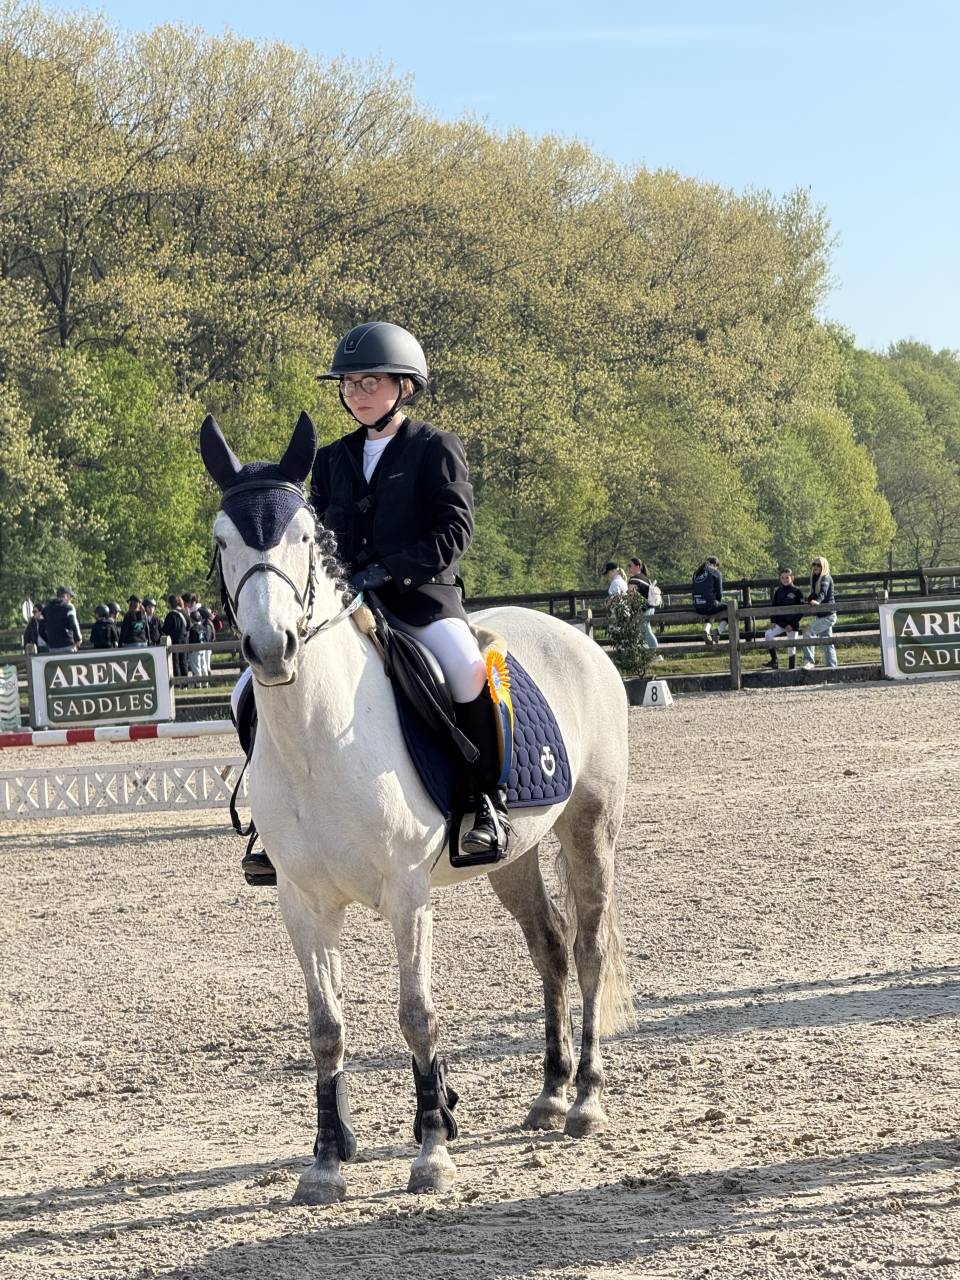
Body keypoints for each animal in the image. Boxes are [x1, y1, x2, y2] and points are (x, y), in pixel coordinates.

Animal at [201, 410, 633, 1203]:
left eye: (304, 536)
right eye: (223, 539)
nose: (272, 649)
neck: (316, 738)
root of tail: (574, 633)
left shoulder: (407, 893)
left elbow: (416, 1015)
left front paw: (432, 1150)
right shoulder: (303, 902)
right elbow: (326, 1027)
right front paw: (326, 1161)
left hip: (590, 829)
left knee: (588, 948)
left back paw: (585, 1100)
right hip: (513, 857)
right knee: (550, 947)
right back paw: (550, 1091)